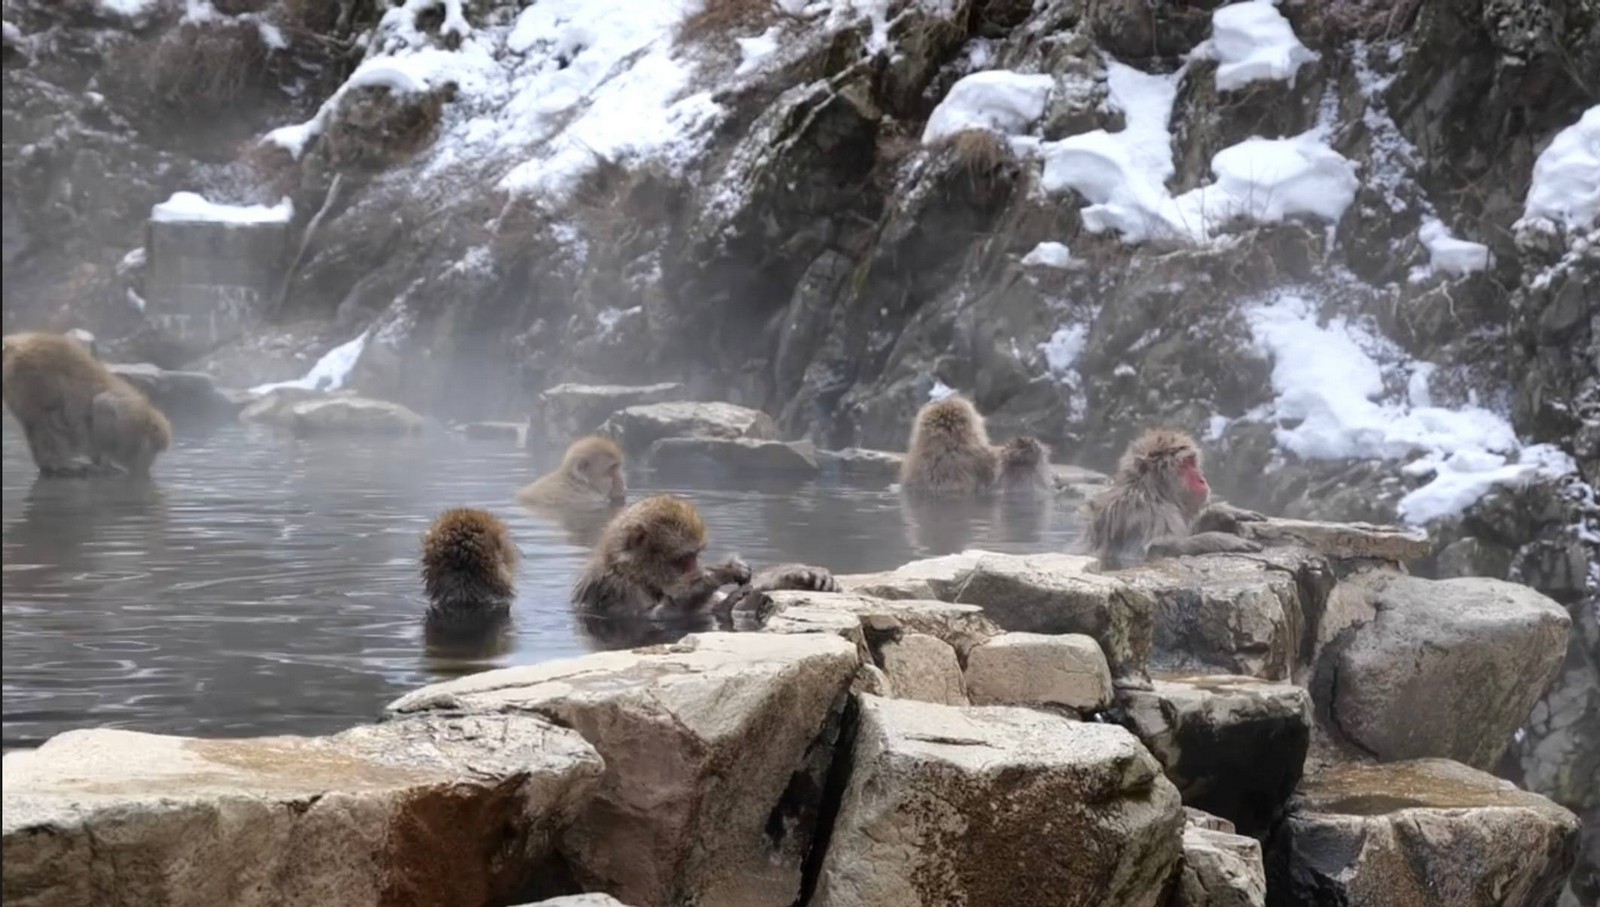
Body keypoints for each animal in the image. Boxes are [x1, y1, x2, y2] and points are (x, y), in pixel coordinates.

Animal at [572, 493, 839, 628]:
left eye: (696, 556)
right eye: (684, 559)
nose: (696, 567)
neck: (635, 574)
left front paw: (797, 574)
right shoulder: (615, 587)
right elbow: (656, 617)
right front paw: (718, 573)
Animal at [1083, 428, 1266, 570]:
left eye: (1192, 462)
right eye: (1185, 464)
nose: (1202, 480)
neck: (1155, 493)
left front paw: (1220, 513)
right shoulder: (1148, 513)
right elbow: (1151, 550)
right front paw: (1217, 540)